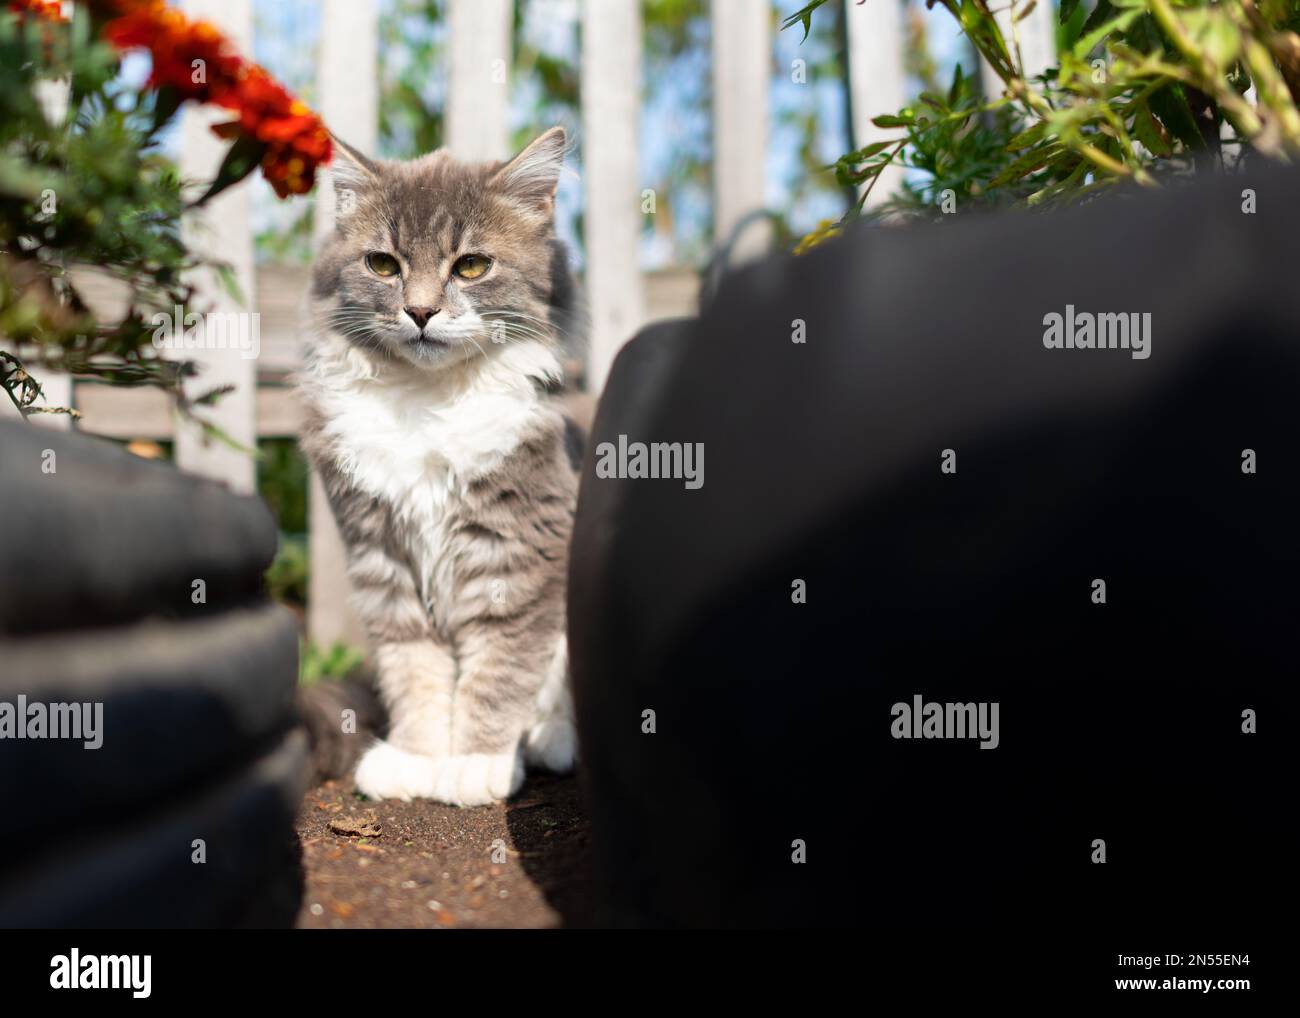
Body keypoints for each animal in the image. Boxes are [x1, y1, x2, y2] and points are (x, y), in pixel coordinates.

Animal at [299, 127, 585, 806]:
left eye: (471, 266)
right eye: (383, 265)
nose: (421, 312)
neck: (428, 402)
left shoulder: (519, 554)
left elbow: (500, 670)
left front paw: (477, 761)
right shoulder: (383, 559)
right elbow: (416, 671)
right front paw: (417, 758)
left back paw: (550, 740)